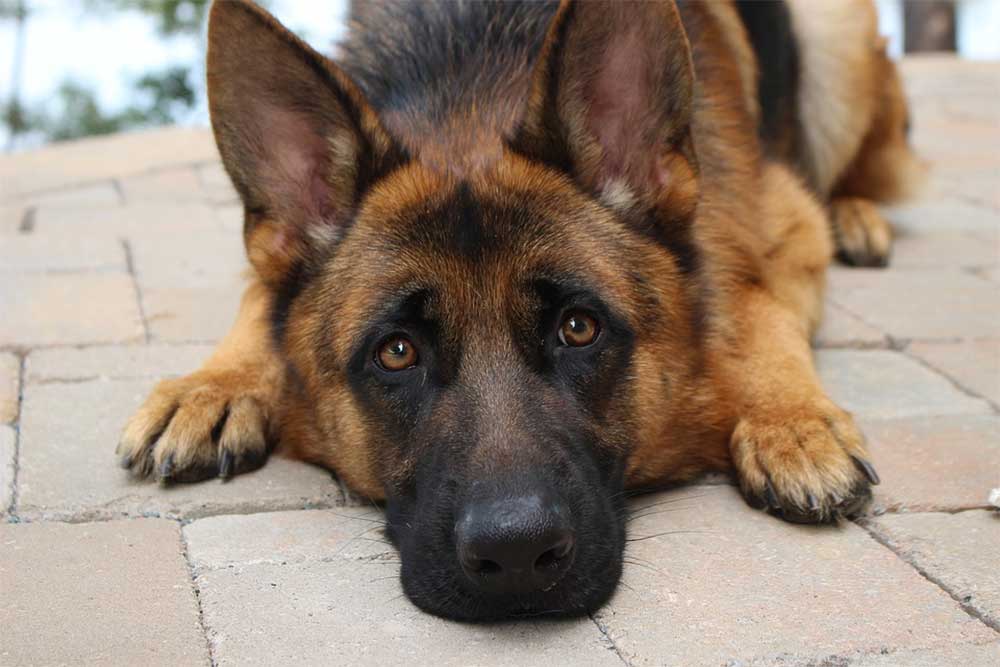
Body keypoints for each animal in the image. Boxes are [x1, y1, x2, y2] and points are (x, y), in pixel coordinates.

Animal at [117, 1, 920, 620]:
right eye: (396, 351)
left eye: (578, 328)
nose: (516, 556)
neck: (469, 91)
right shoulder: (272, 267)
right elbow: (260, 296)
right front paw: (213, 385)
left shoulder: (784, 220)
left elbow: (755, 308)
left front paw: (791, 421)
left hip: (837, 40)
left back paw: (858, 216)